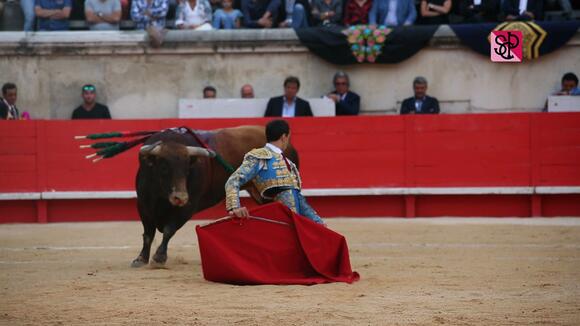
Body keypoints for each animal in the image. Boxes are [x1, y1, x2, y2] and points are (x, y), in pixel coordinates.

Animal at [131, 125, 300, 268]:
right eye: (164, 167)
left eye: (187, 169)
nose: (180, 197)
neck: (162, 195)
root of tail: (290, 146)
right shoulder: (143, 204)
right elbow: (148, 233)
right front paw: (140, 259)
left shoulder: (188, 207)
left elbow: (168, 230)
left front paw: (159, 258)